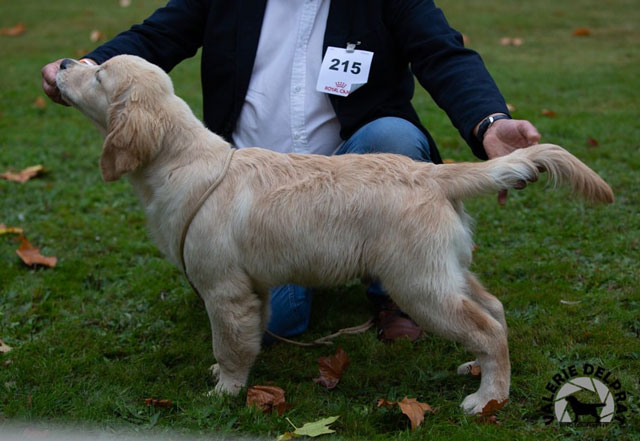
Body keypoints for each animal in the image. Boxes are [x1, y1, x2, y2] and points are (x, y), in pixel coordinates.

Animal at [57, 54, 612, 412]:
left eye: (99, 73)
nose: (61, 65)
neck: (182, 161)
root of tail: (434, 173)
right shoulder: (252, 289)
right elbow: (247, 339)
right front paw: (227, 378)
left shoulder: (224, 289)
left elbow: (228, 346)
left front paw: (225, 392)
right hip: (444, 268)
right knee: (493, 308)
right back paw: (478, 372)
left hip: (418, 283)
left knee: (488, 328)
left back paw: (487, 399)